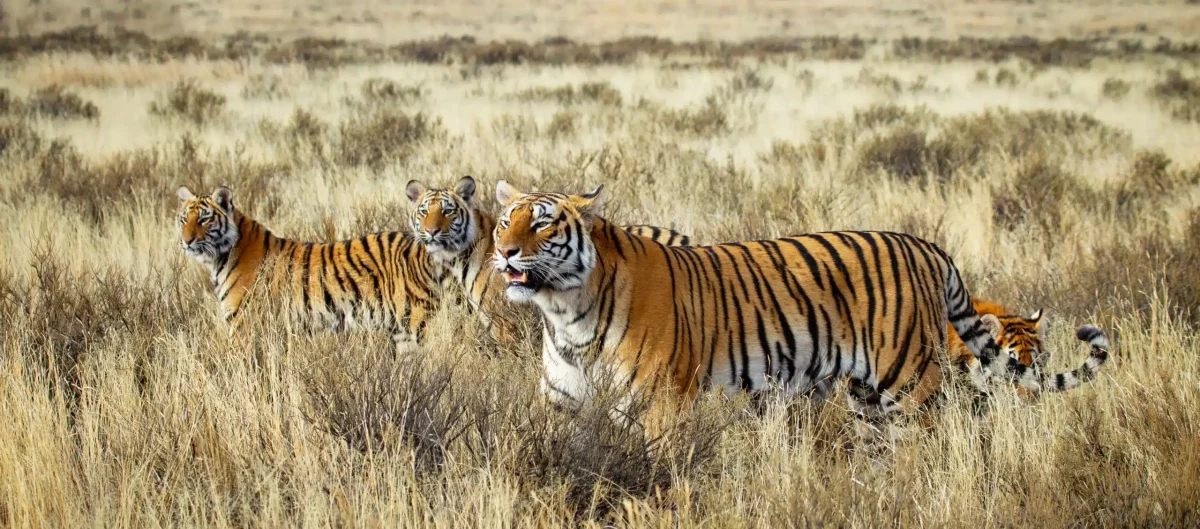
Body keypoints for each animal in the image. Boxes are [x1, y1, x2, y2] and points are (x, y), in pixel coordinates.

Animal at [176, 185, 444, 351]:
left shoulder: (243, 326)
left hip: (416, 322)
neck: (220, 257)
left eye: (204, 219)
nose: (186, 241)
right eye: (184, 219)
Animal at [488, 180, 1110, 421]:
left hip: (907, 386)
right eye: (504, 221)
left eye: (542, 224)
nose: (503, 251)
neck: (567, 314)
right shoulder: (565, 404)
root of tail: (929, 247)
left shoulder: (661, 402)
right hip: (867, 399)